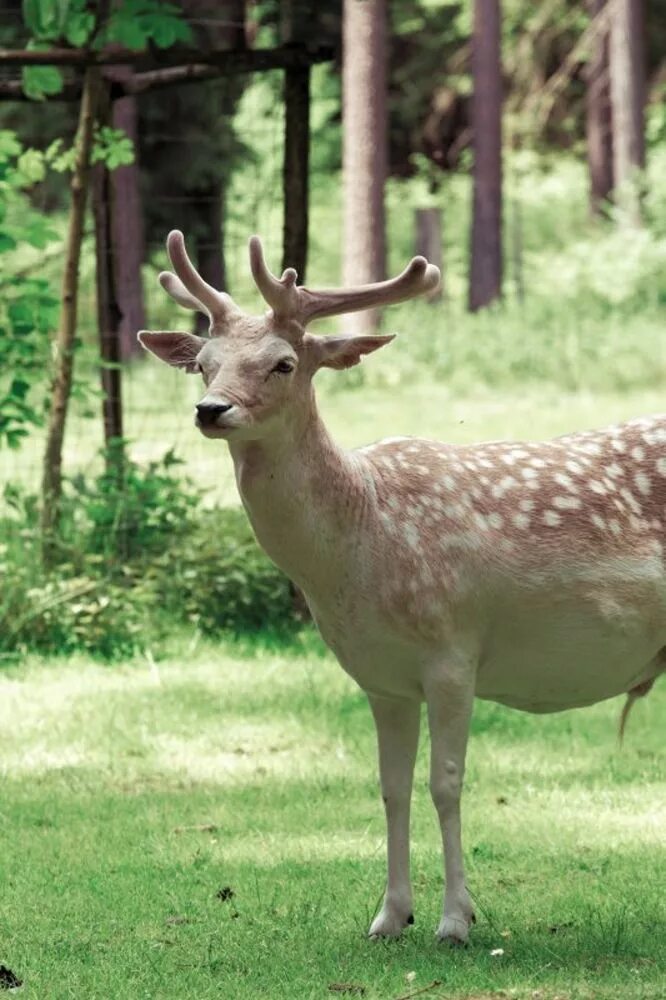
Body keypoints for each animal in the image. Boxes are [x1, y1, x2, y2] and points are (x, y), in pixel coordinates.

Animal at [137, 232, 660, 944]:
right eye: (202, 364)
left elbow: (446, 782)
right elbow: (391, 787)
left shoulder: (453, 650)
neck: (362, 545)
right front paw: (389, 915)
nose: (210, 409)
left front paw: (456, 920)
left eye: (282, 363)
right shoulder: (380, 677)